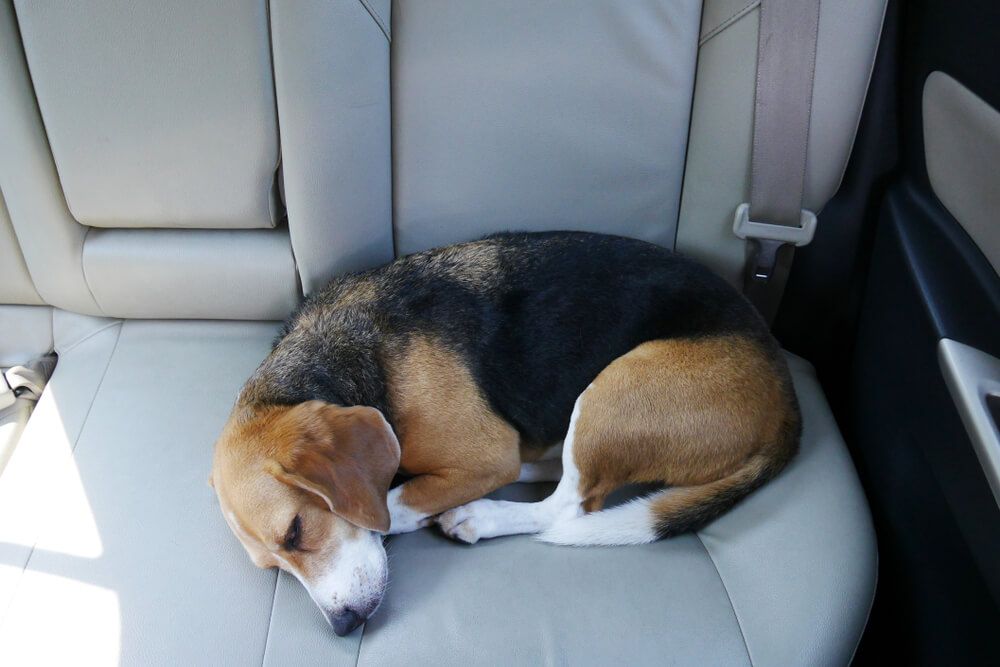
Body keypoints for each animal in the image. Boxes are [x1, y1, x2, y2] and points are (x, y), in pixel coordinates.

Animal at [209, 234, 796, 636]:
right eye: (275, 567)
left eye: (296, 531)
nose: (344, 625)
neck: (352, 349)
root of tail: (787, 398)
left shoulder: (485, 458)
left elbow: (395, 503)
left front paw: (404, 512)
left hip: (617, 388)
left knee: (569, 506)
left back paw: (480, 516)